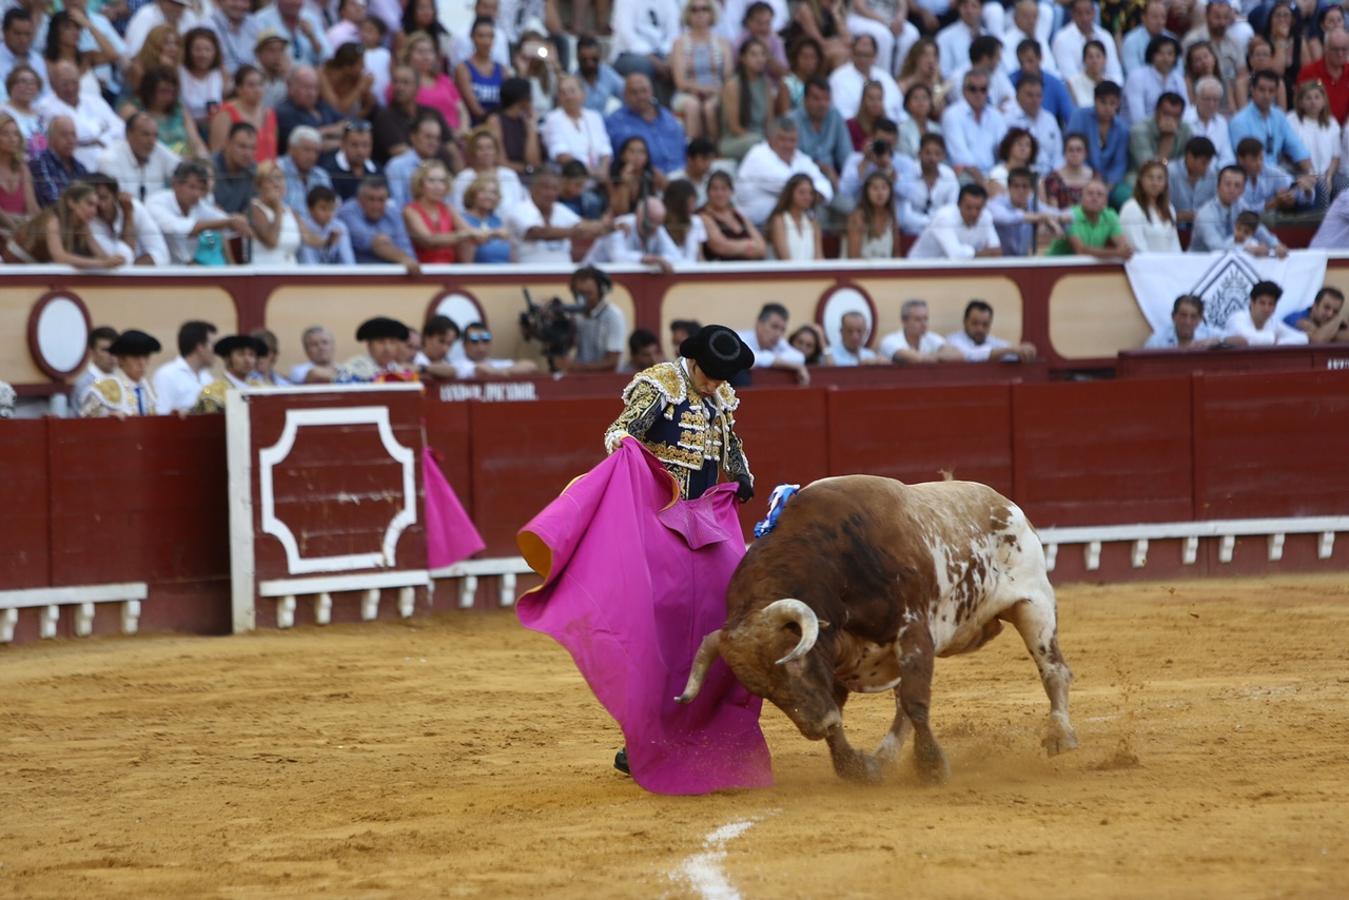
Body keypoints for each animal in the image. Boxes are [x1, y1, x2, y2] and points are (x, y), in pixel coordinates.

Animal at [679, 477, 1079, 782]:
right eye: (763, 691)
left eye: (794, 663)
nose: (816, 725)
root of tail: (1004, 503)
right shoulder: (837, 660)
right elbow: (852, 716)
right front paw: (856, 767)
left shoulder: (913, 632)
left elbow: (917, 702)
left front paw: (932, 767)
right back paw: (883, 757)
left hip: (1034, 604)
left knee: (1054, 670)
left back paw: (1061, 736)